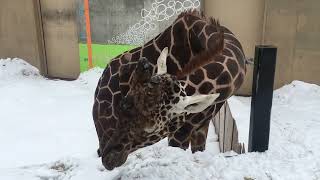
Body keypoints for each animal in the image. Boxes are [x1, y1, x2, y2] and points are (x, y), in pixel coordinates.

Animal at [91, 9, 246, 170]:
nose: (109, 160)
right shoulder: (180, 132)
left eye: (152, 128)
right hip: (105, 130)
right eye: (122, 105)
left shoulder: (201, 125)